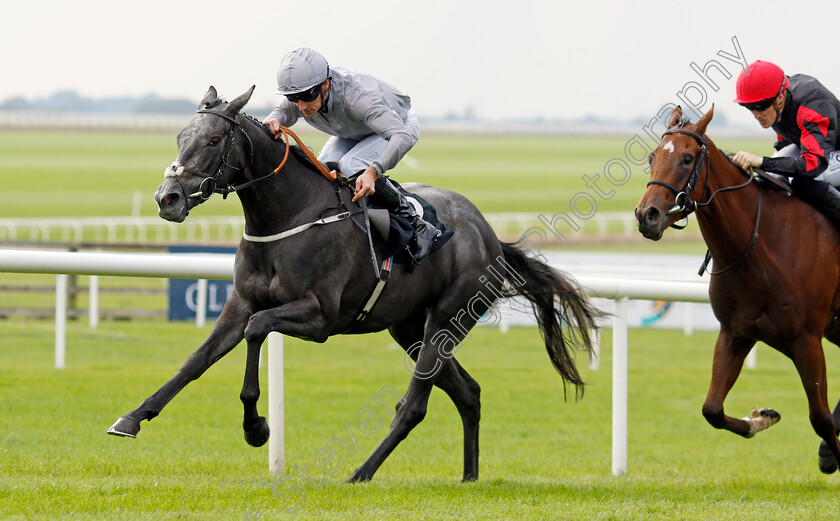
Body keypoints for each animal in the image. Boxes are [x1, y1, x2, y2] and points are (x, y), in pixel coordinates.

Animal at [106, 84, 604, 480]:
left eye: (212, 140)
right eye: (180, 137)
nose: (167, 198)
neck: (288, 214)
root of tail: (490, 237)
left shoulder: (320, 317)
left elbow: (256, 330)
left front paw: (256, 427)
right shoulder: (241, 301)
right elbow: (196, 360)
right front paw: (132, 417)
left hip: (447, 319)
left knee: (414, 406)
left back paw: (361, 472)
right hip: (409, 327)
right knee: (469, 393)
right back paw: (468, 476)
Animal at [632, 104, 840, 472]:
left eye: (687, 158)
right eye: (652, 156)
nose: (647, 215)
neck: (758, 247)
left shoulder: (807, 341)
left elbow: (821, 418)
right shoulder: (736, 332)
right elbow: (712, 409)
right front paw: (761, 418)